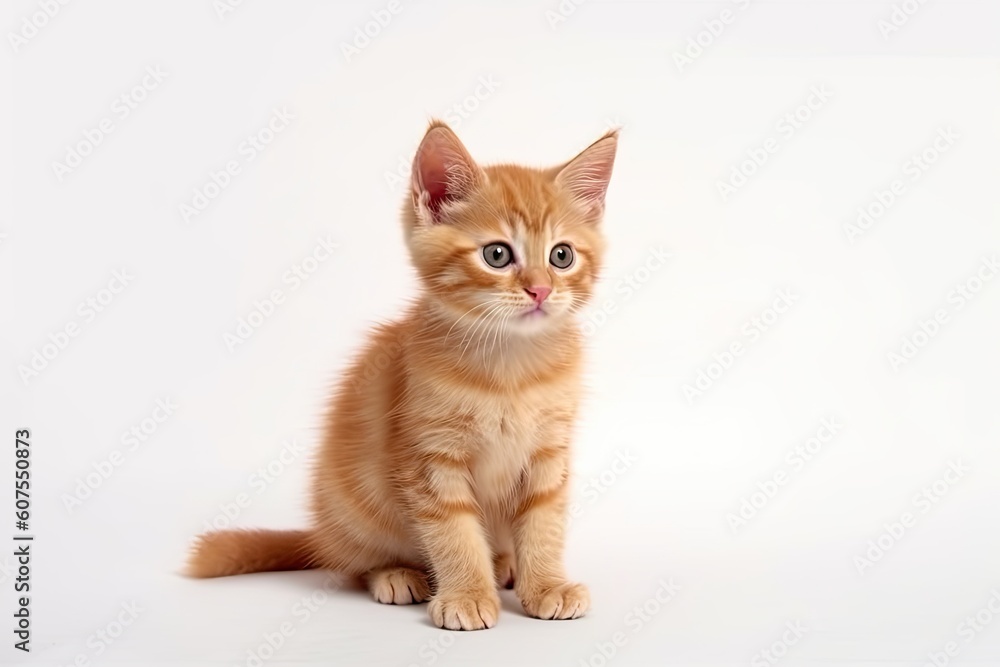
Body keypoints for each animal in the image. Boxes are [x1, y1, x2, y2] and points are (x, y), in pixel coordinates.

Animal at [188, 121, 616, 632]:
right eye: (497, 255)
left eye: (561, 256)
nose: (540, 290)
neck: (510, 365)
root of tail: (320, 534)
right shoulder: (428, 455)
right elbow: (453, 530)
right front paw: (467, 594)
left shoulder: (549, 453)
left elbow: (544, 522)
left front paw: (546, 585)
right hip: (352, 505)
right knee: (354, 562)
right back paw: (397, 574)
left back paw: (503, 564)